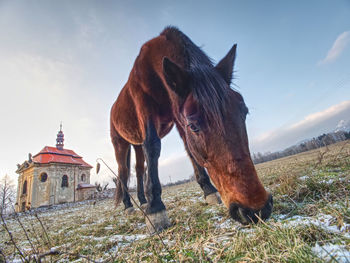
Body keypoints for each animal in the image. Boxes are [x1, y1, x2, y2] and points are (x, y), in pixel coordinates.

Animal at [110, 26, 274, 233]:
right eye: (194, 125)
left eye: (244, 112)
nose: (256, 209)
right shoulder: (145, 108)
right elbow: (153, 147)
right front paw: (156, 208)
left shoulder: (178, 117)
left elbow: (189, 150)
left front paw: (209, 191)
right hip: (120, 144)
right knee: (123, 172)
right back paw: (129, 206)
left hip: (136, 144)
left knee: (139, 170)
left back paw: (142, 201)